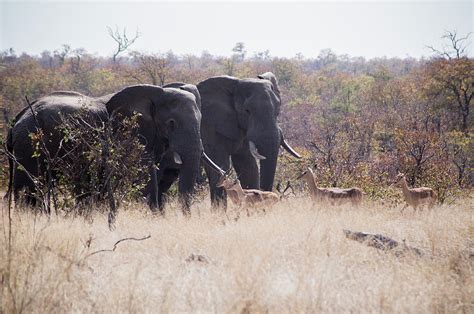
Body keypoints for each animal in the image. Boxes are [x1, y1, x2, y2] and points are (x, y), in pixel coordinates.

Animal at [197, 72, 302, 207]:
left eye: (278, 111)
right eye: (247, 111)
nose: (261, 194)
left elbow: (248, 167)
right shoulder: (209, 126)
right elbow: (220, 162)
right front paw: (219, 212)